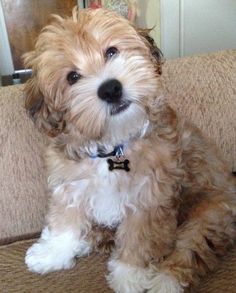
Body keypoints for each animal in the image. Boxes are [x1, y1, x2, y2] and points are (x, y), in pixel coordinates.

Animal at [24, 6, 236, 292]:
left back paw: (164, 282)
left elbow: (139, 240)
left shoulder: (149, 198)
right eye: (72, 77)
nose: (110, 88)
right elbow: (66, 219)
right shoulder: (70, 183)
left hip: (211, 213)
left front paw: (129, 276)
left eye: (111, 51)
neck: (113, 145)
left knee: (191, 248)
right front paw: (53, 252)